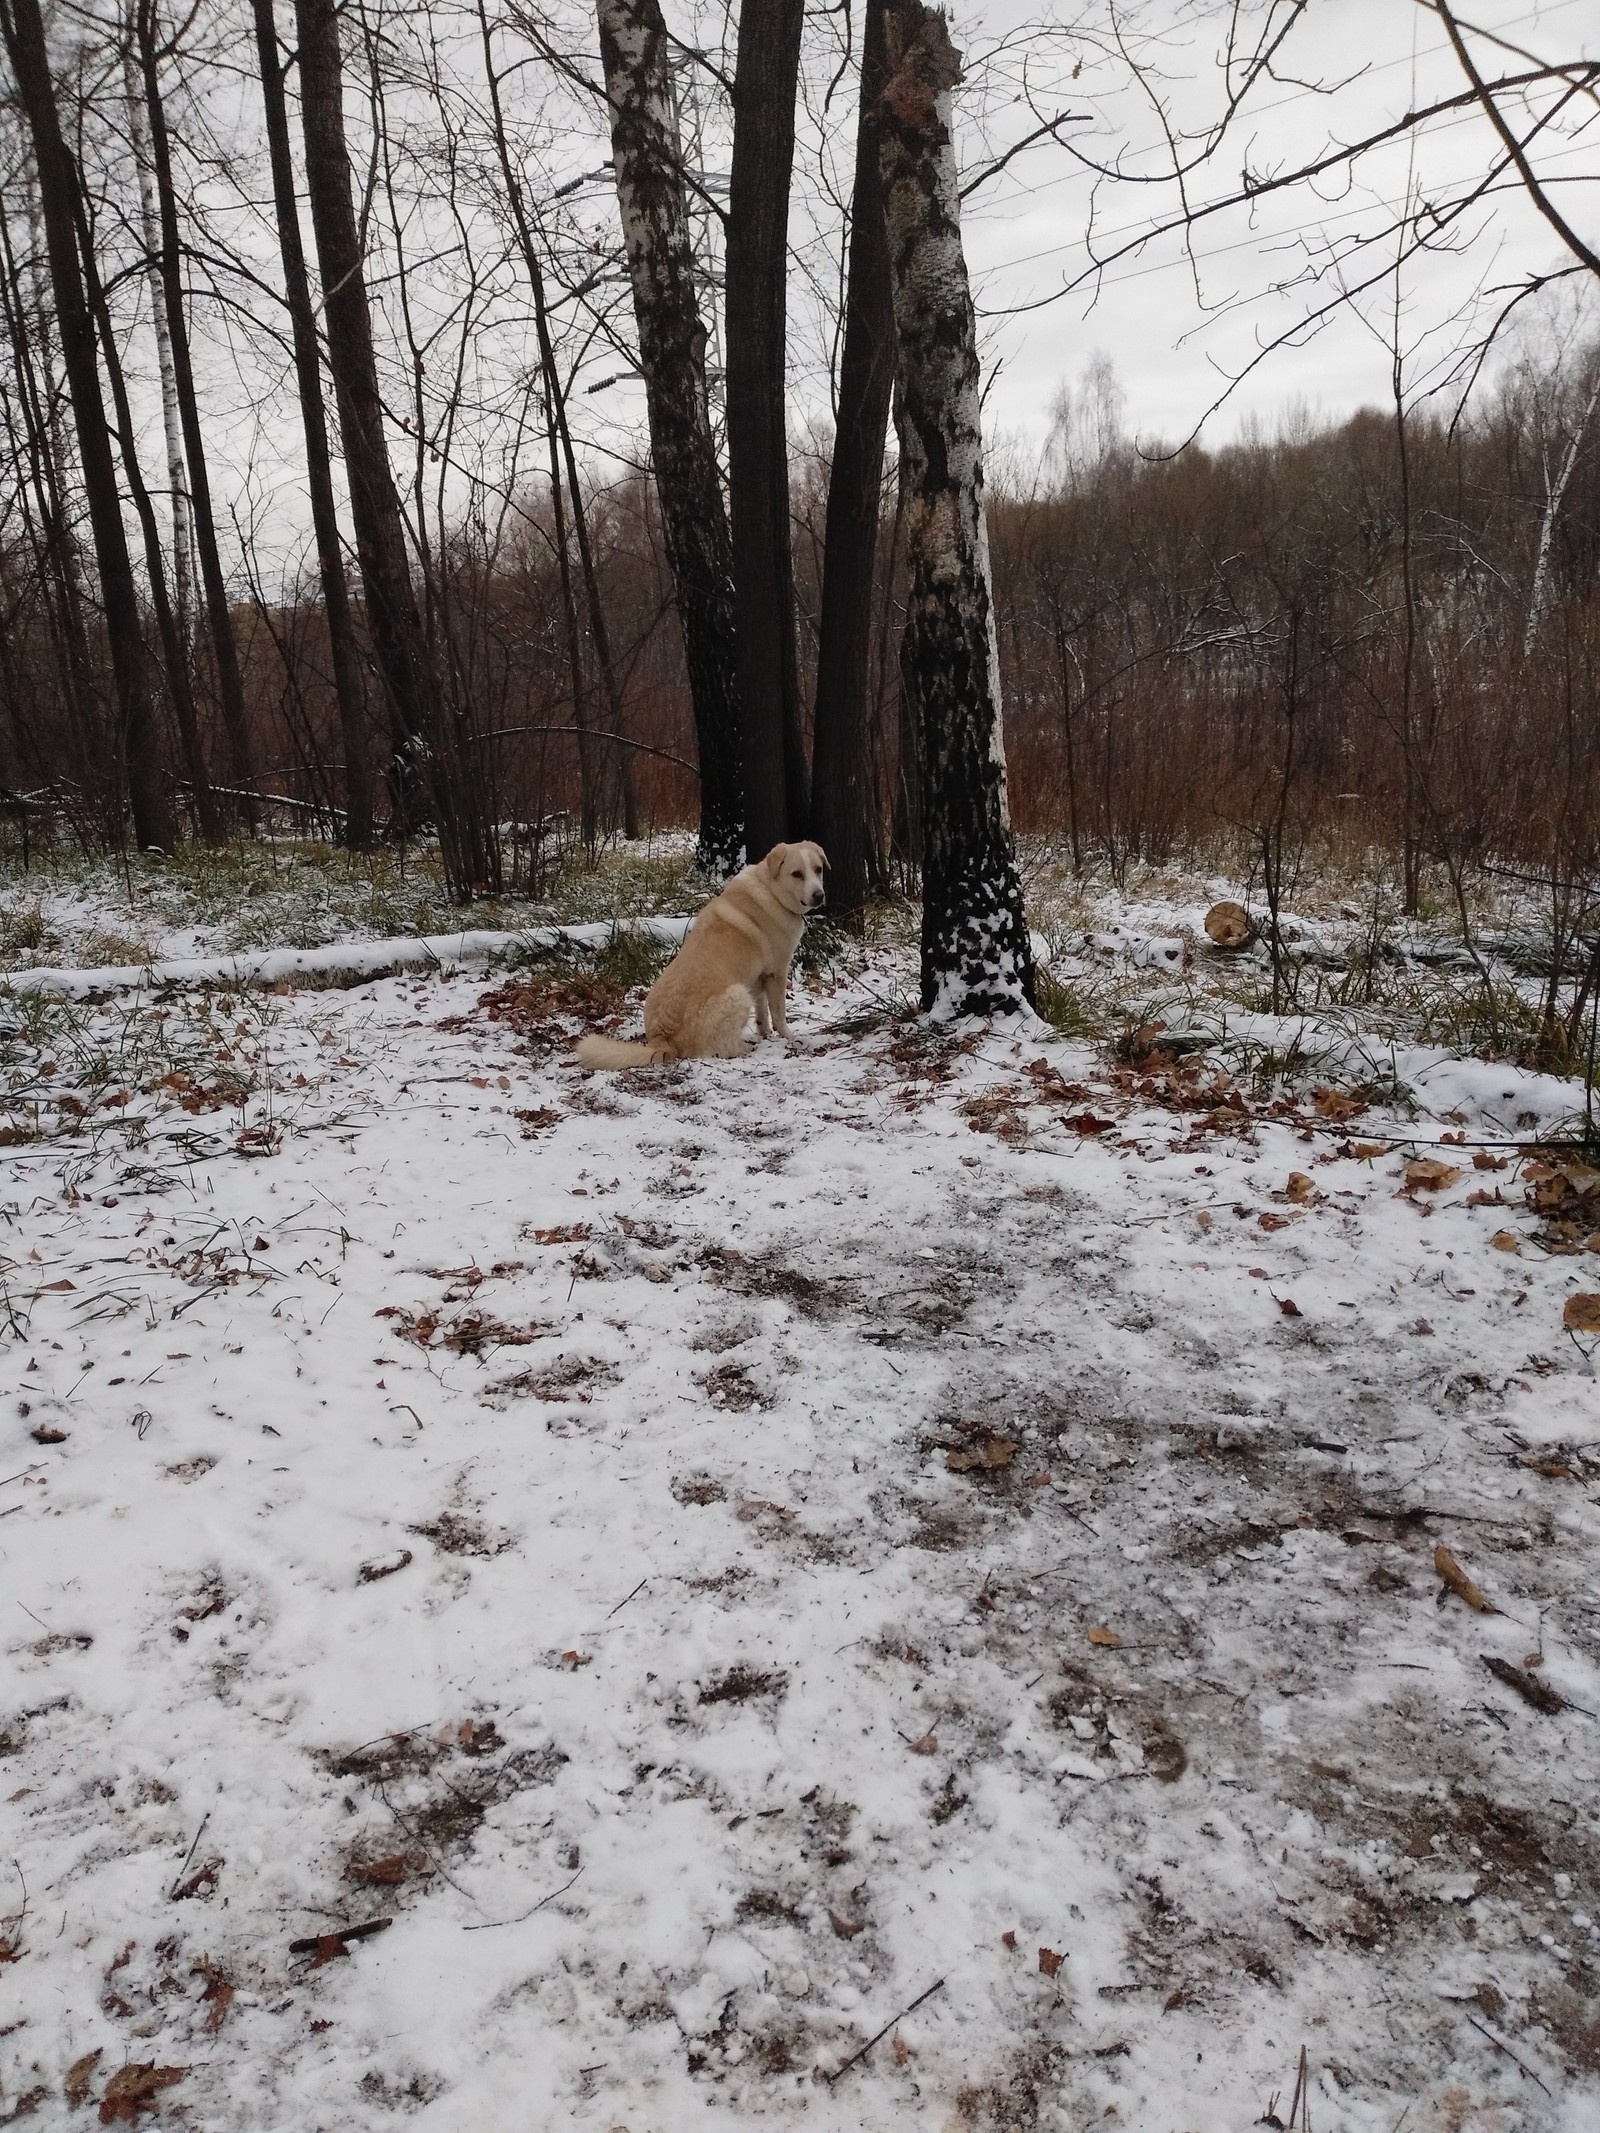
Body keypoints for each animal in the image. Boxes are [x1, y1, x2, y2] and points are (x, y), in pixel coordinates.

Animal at [576, 831, 827, 1066]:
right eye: (797, 874)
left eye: (818, 870)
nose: (819, 896)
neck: (771, 891)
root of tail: (661, 1040)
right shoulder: (777, 974)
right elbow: (779, 1014)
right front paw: (788, 1038)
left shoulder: (760, 978)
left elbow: (763, 1013)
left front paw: (766, 1034)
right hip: (738, 994)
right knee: (717, 1050)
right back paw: (744, 1048)